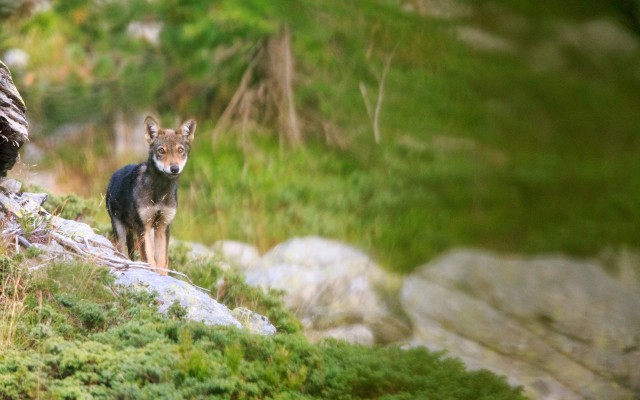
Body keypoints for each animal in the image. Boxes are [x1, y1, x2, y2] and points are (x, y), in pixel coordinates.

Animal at [106, 116, 196, 275]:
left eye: (180, 150)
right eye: (161, 151)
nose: (174, 168)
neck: (160, 192)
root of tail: (113, 176)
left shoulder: (163, 226)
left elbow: (162, 262)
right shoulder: (144, 226)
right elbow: (149, 260)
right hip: (121, 233)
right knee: (122, 252)